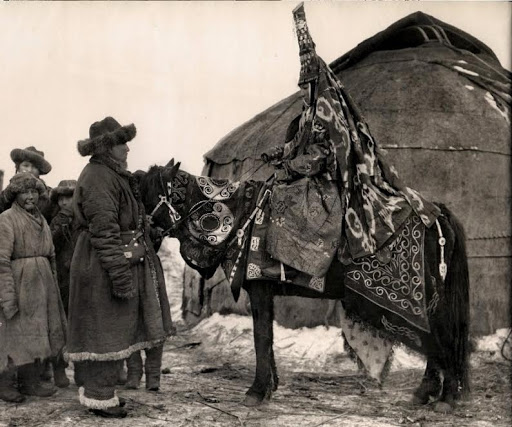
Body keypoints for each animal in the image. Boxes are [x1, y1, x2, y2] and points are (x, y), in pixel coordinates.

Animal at [137, 160, 472, 414]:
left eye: (145, 193)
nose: (144, 235)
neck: (242, 215)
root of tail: (437, 212)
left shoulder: (259, 289)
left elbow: (261, 337)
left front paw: (256, 392)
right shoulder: (266, 292)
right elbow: (267, 337)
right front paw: (269, 387)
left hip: (428, 299)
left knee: (443, 337)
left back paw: (445, 398)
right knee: (435, 340)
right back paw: (425, 393)